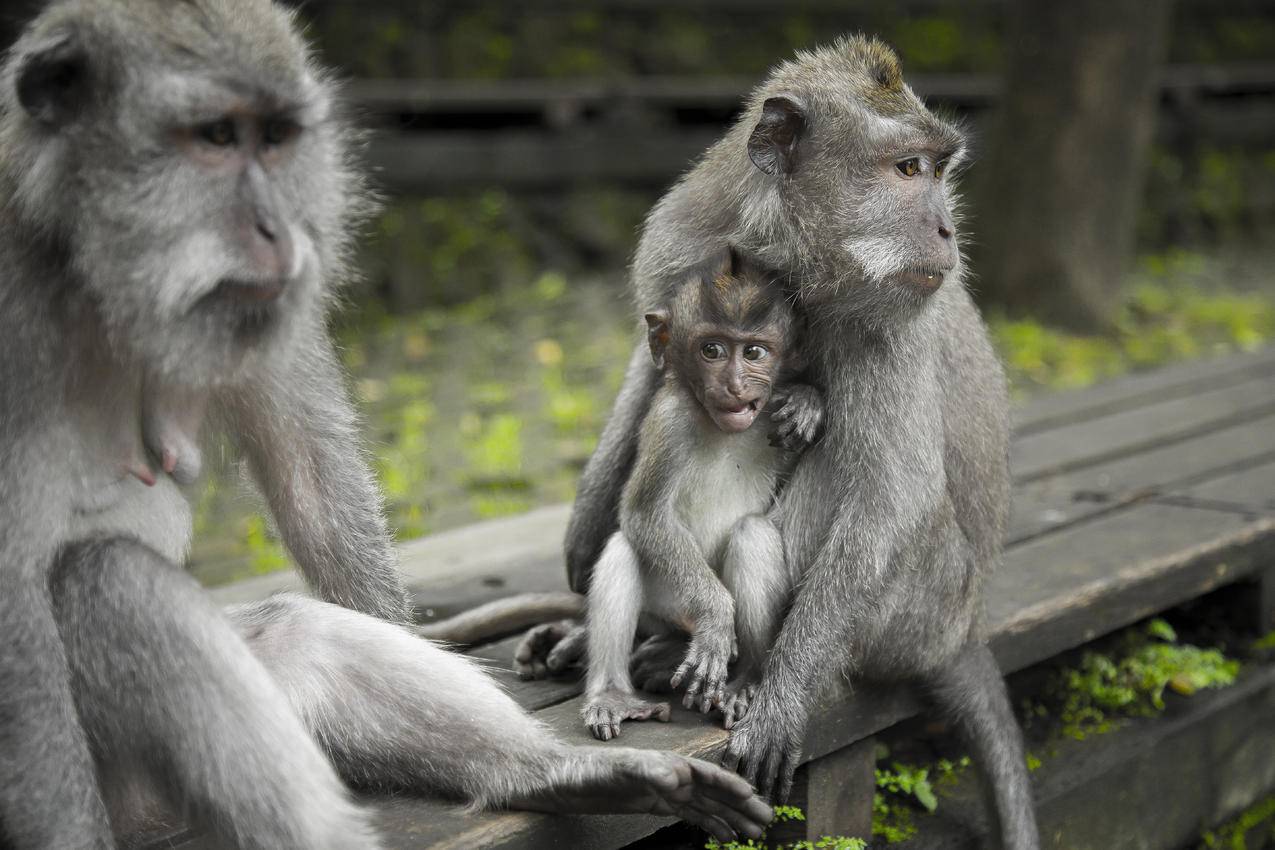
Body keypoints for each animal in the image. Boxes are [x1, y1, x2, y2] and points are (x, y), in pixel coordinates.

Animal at [0, 3, 770, 846]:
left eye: (275, 137)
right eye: (215, 137)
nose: (277, 229)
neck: (84, 260)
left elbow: (312, 486)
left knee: (290, 632)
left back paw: (555, 774)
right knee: (112, 581)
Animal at [583, 245, 821, 739]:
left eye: (754, 352)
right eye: (711, 350)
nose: (734, 385)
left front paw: (808, 402)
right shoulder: (669, 421)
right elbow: (644, 515)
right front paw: (714, 620)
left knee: (752, 535)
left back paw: (748, 678)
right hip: (670, 603)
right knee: (624, 549)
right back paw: (613, 693)